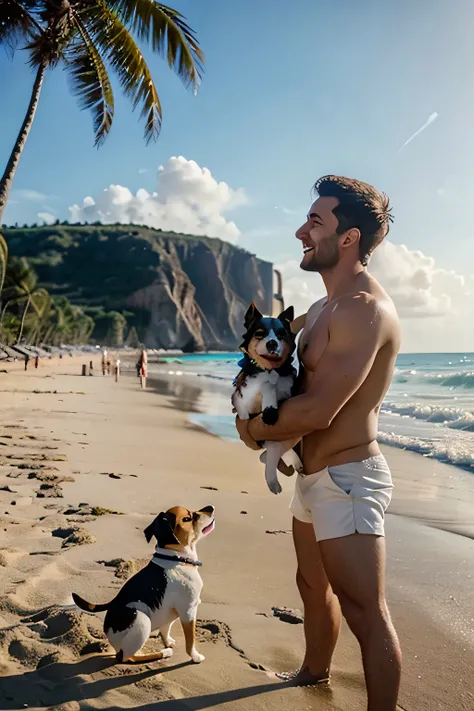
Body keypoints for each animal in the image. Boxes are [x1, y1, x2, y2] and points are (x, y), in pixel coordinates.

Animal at [72, 504, 215, 664]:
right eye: (187, 518)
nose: (211, 507)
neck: (175, 558)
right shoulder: (188, 611)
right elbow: (190, 642)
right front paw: (195, 657)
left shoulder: (171, 611)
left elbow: (165, 630)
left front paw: (169, 642)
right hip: (142, 620)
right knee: (126, 657)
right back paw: (163, 653)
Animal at [232, 304, 302, 496]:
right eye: (260, 333)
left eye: (281, 335)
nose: (272, 343)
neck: (270, 369)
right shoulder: (244, 395)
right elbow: (265, 385)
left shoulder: (287, 389)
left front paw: (270, 409)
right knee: (270, 455)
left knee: (271, 454)